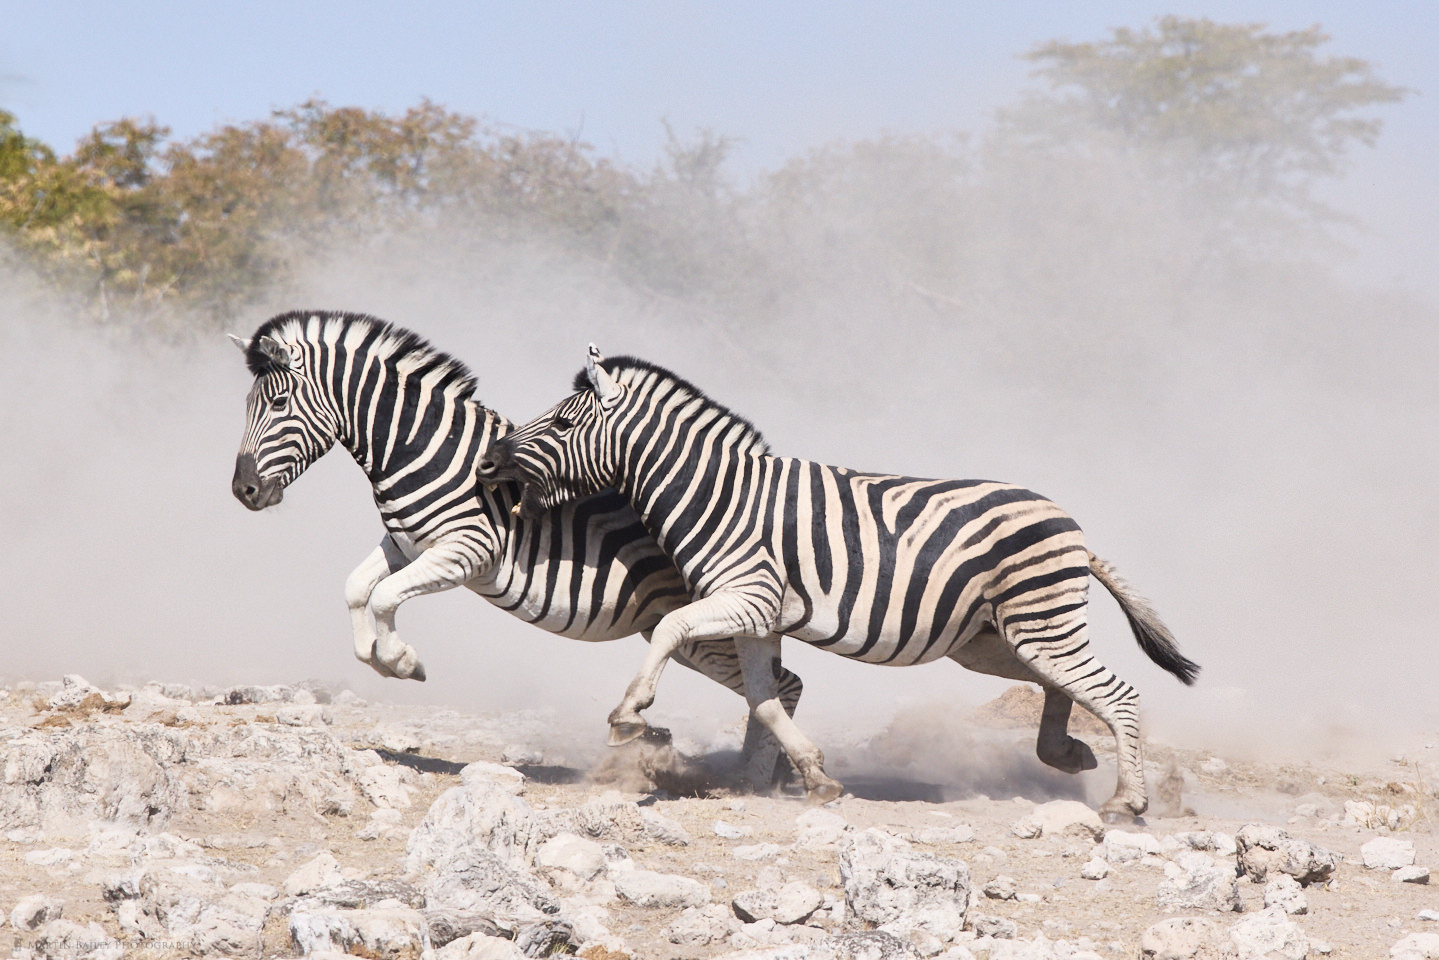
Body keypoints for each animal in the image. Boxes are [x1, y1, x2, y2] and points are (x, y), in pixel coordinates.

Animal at [230, 312, 805, 782]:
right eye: (248, 404)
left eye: (278, 403)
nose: (243, 491)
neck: (420, 448)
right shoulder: (406, 544)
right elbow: (355, 588)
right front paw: (376, 656)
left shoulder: (465, 550)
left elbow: (385, 597)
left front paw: (402, 661)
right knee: (774, 684)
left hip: (707, 628)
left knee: (785, 684)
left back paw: (763, 779)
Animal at [477, 345, 1197, 817]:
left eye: (563, 423)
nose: (488, 463)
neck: (715, 495)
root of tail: (1072, 525)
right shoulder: (757, 618)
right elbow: (766, 699)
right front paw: (810, 778)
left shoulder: (747, 597)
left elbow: (674, 630)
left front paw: (630, 716)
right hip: (990, 638)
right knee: (1060, 685)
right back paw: (1066, 754)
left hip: (1035, 623)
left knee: (1116, 692)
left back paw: (1127, 802)